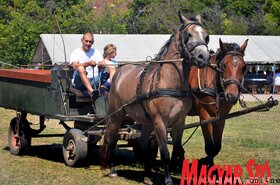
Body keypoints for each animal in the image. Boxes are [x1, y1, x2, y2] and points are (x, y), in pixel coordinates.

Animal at [99, 13, 209, 185]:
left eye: (206, 36)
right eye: (188, 35)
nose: (204, 57)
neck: (171, 82)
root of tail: (120, 71)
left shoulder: (179, 122)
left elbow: (176, 150)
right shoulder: (160, 121)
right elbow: (164, 152)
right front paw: (168, 180)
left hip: (146, 122)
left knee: (143, 144)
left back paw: (147, 174)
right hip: (117, 115)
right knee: (112, 138)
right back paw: (112, 169)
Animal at [188, 38, 247, 167]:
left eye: (244, 67)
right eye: (224, 65)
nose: (232, 96)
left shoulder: (220, 118)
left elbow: (216, 147)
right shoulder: (205, 116)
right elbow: (210, 147)